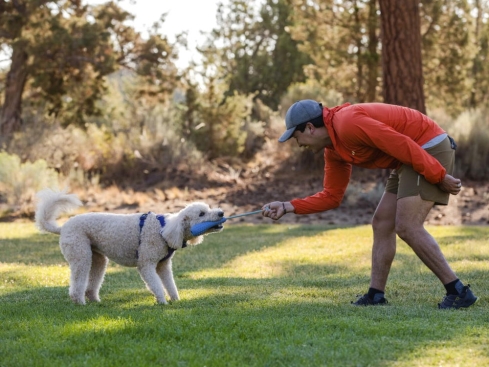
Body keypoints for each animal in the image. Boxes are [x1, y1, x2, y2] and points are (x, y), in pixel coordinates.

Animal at [34, 190, 223, 304]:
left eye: (208, 208)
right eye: (201, 213)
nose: (221, 212)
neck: (164, 229)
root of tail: (62, 228)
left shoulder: (163, 266)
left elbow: (170, 284)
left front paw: (175, 300)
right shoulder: (146, 264)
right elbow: (156, 285)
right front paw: (162, 302)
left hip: (98, 259)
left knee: (92, 283)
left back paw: (95, 301)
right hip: (80, 255)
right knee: (77, 282)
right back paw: (79, 302)